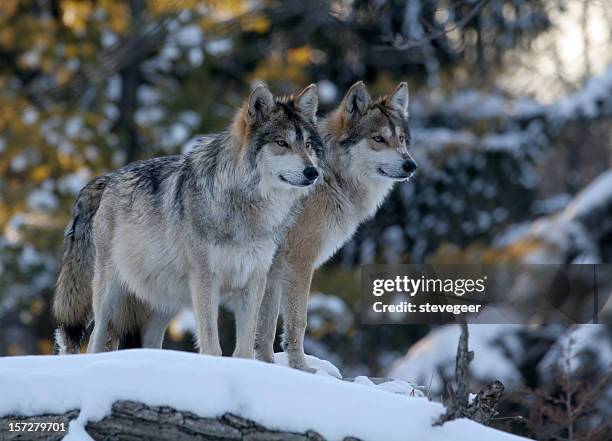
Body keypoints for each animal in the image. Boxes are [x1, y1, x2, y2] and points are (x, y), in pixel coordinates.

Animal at [53, 83, 322, 358]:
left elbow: (245, 349)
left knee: (149, 341)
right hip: (110, 291)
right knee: (96, 337)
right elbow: (212, 346)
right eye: (281, 143)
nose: (313, 172)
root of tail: (108, 178)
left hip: (165, 302)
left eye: (307, 144)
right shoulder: (205, 280)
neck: (248, 207)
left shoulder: (254, 280)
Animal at [253, 81, 416, 370]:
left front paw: (267, 367)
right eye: (378, 139)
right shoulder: (298, 263)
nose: (411, 165)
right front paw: (302, 369)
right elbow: (298, 323)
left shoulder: (272, 271)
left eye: (401, 140)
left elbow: (265, 330)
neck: (331, 178)